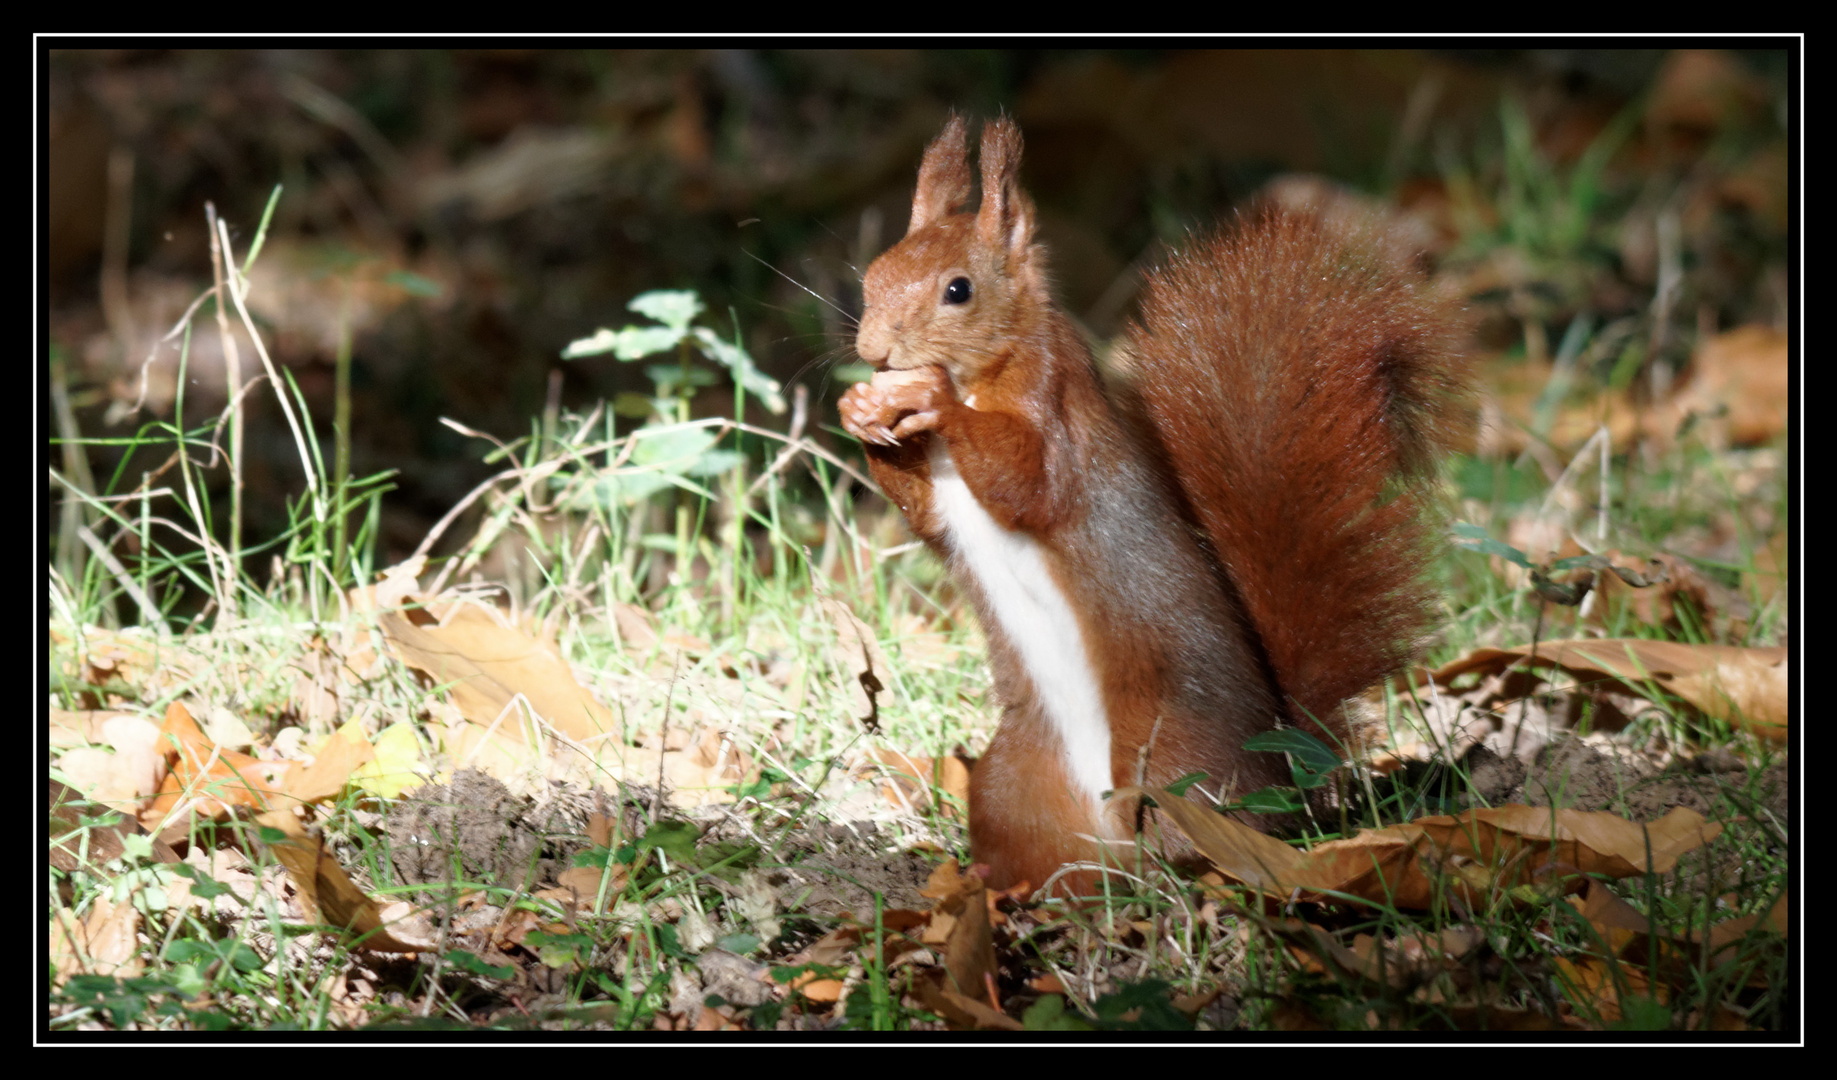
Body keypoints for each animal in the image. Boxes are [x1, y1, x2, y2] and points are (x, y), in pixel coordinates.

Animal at [841, 116, 1469, 892]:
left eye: (958, 289)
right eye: (871, 276)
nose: (874, 351)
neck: (978, 373)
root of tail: (1283, 764)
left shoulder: (1055, 408)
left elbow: (1029, 483)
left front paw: (925, 398)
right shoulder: (939, 501)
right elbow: (925, 514)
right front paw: (858, 410)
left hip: (1175, 757)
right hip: (1010, 783)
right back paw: (1006, 889)